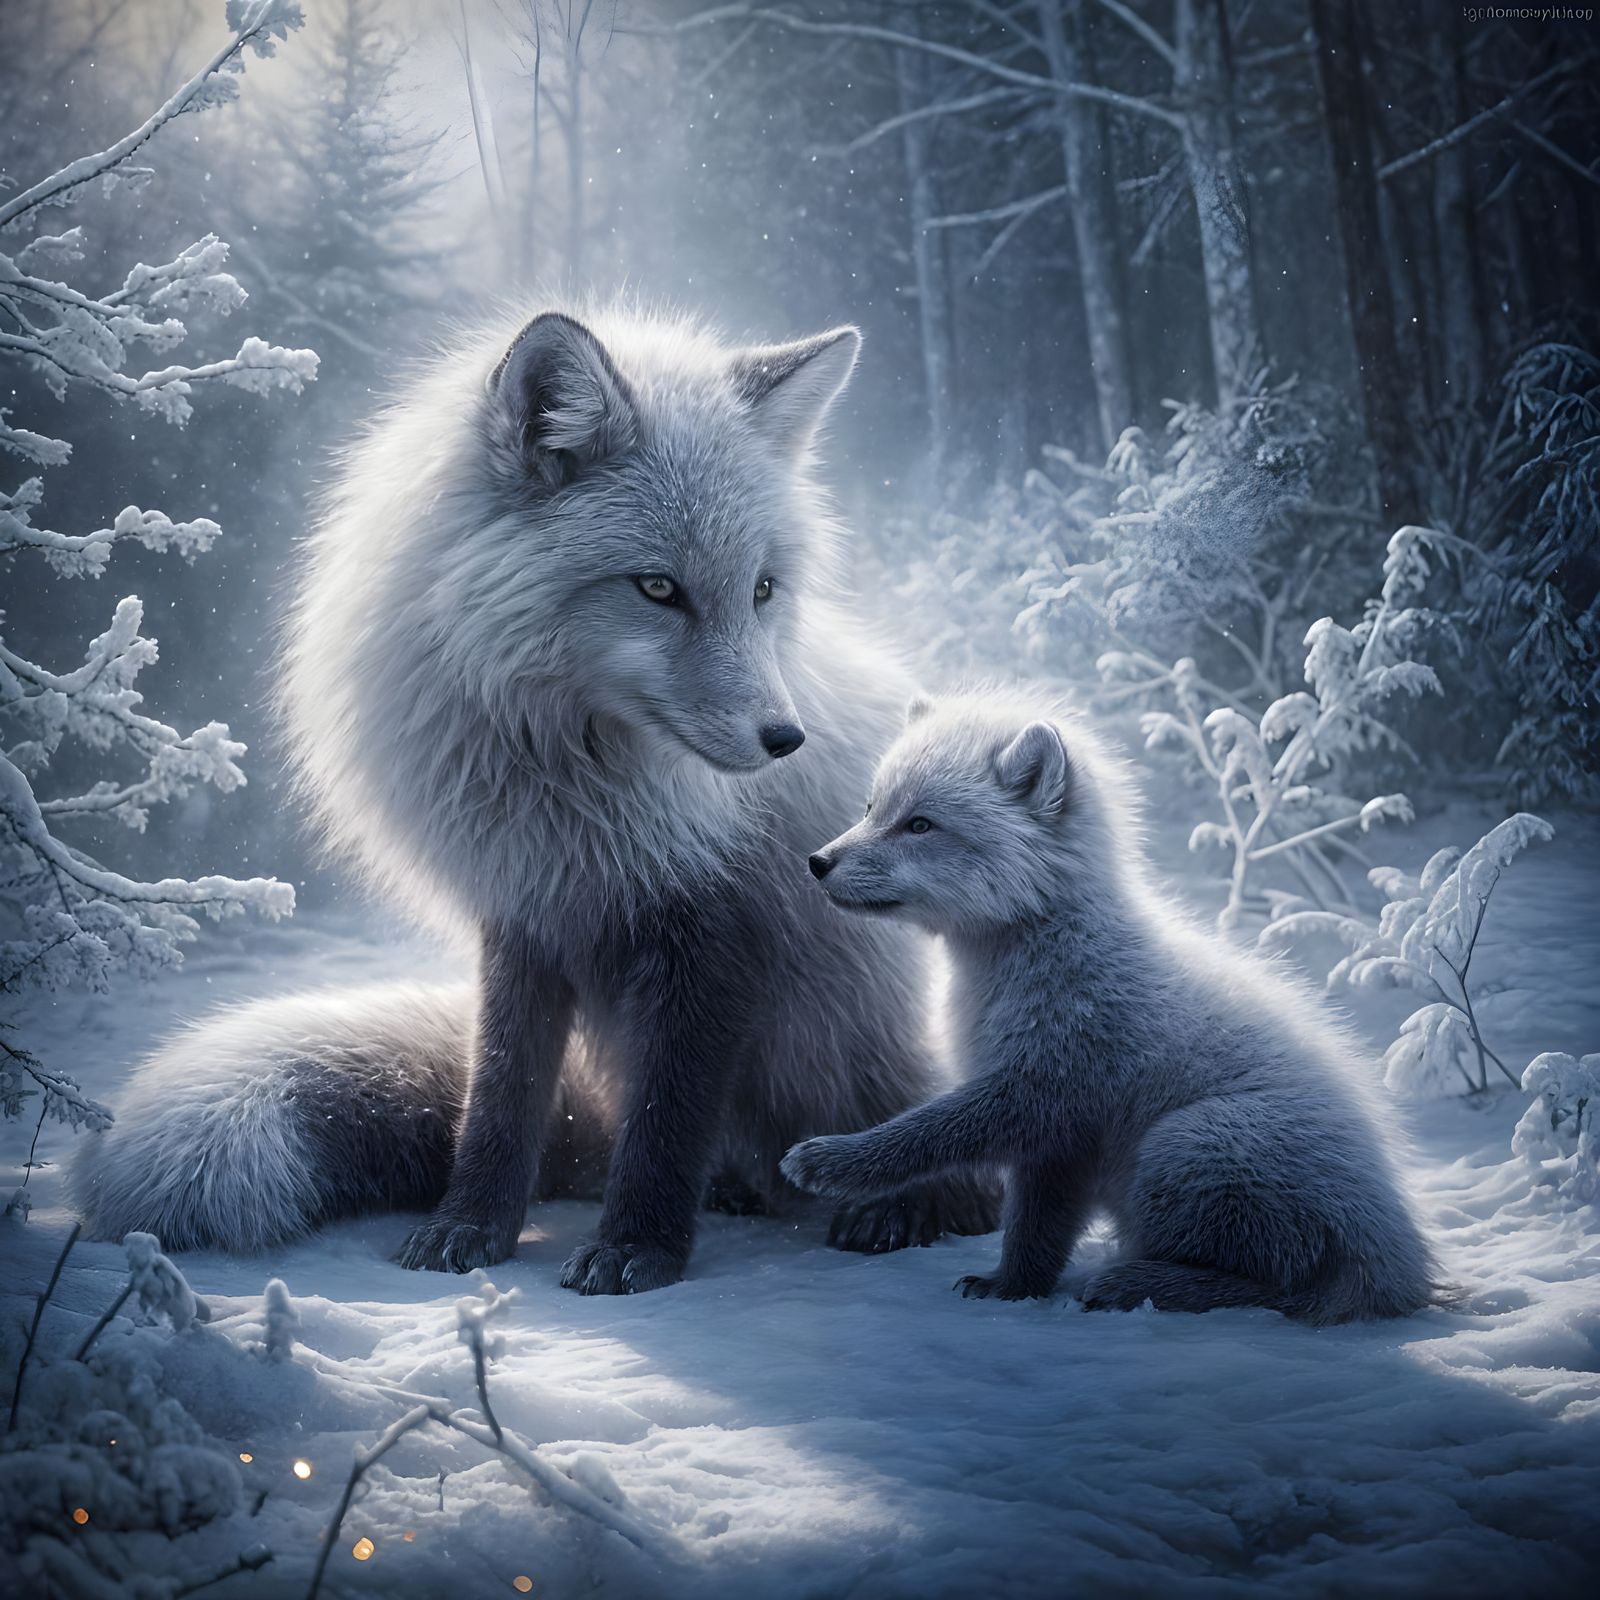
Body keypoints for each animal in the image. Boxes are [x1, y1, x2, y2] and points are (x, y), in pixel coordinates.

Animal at [73, 306, 996, 1289]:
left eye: (762, 590)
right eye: (658, 587)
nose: (786, 740)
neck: (568, 785)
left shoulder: (723, 931)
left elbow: (667, 1121)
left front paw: (635, 1250)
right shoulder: (523, 913)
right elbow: (502, 1096)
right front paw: (469, 1230)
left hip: (856, 1047)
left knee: (954, 1162)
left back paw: (897, 1208)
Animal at [782, 690, 1439, 1322]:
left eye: (920, 824)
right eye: (871, 809)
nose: (817, 862)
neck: (1044, 950)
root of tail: (1399, 1264)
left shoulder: (1043, 1092)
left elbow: (925, 1134)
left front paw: (831, 1161)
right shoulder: (1062, 1145)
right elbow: (1035, 1235)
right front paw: (1011, 1290)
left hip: (1187, 1141)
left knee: (1283, 1289)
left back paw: (1137, 1285)